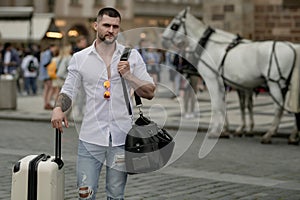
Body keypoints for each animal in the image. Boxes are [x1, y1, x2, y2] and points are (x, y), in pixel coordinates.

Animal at [163, 8, 298, 144]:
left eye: (174, 25)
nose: (163, 39)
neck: (209, 44)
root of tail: (294, 47)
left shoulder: (212, 80)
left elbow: (217, 104)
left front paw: (216, 131)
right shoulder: (225, 83)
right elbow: (225, 105)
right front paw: (225, 130)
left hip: (275, 84)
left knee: (279, 108)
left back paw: (269, 134)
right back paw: (292, 135)